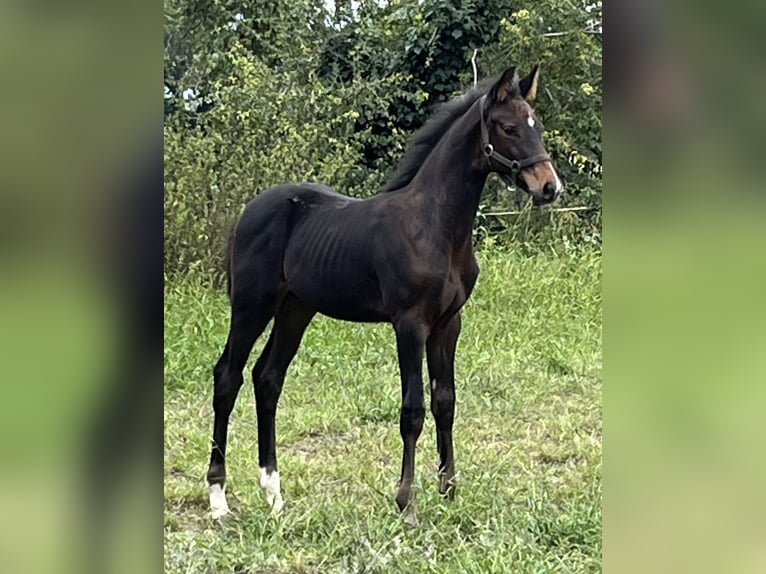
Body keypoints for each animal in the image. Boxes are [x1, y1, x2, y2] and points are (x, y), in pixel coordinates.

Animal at [206, 65, 564, 524]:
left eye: (538, 126)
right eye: (507, 127)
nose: (549, 188)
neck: (434, 225)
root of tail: (247, 212)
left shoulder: (448, 324)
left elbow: (445, 401)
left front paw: (449, 491)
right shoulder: (410, 324)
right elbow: (413, 410)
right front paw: (406, 504)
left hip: (295, 309)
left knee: (267, 378)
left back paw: (274, 493)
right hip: (253, 305)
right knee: (227, 377)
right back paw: (218, 499)